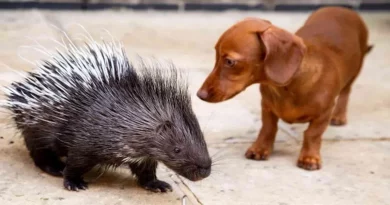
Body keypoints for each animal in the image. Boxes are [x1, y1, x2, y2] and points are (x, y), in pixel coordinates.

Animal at [198, 6, 372, 170]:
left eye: (230, 62)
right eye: (216, 55)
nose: (200, 95)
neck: (288, 88)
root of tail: (343, 8)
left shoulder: (324, 113)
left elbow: (313, 134)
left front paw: (309, 157)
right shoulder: (267, 106)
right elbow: (268, 128)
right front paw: (260, 148)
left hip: (355, 70)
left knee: (346, 92)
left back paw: (339, 116)